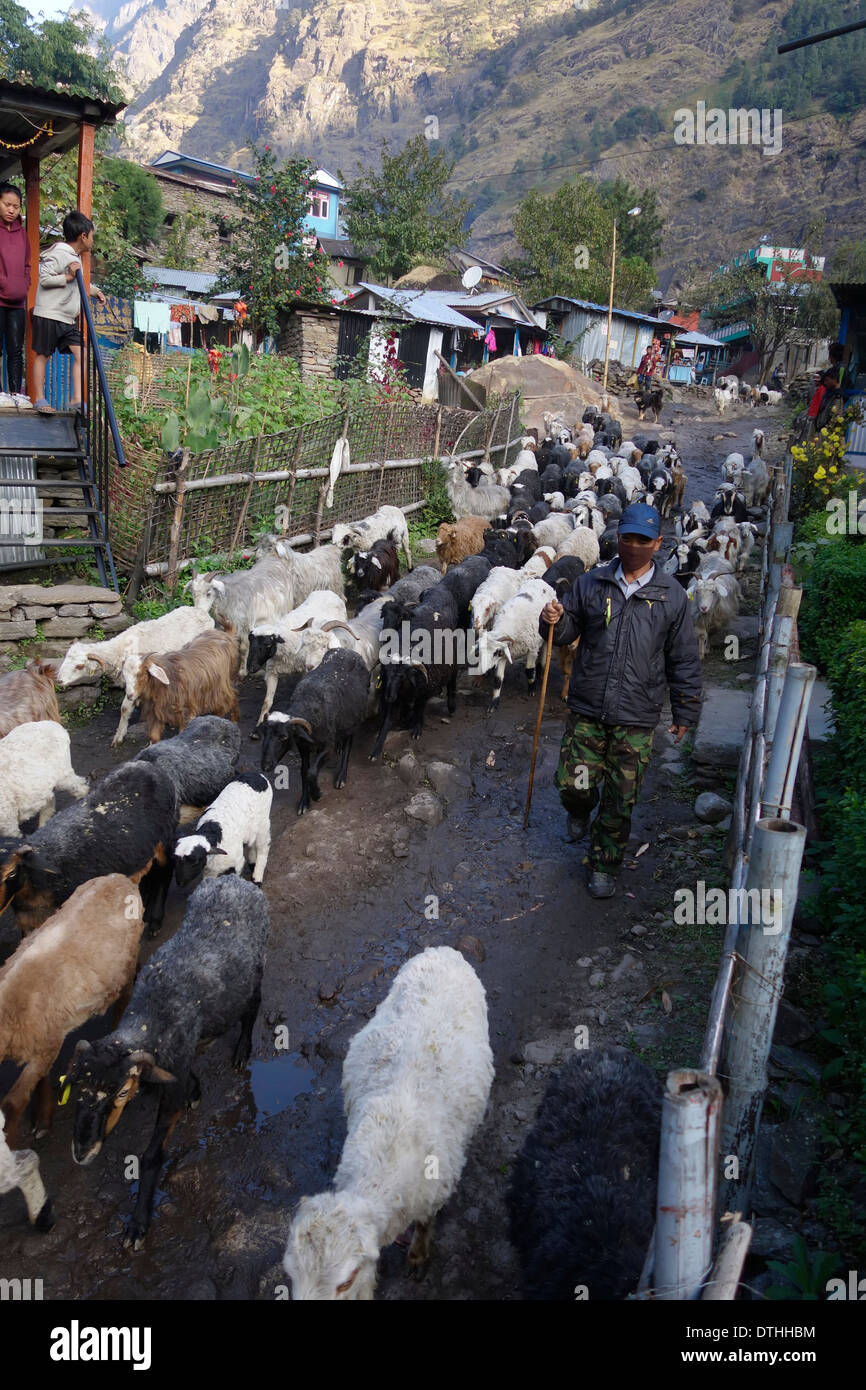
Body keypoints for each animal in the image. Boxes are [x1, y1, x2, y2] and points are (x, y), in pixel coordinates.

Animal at [0, 872, 144, 1145]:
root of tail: (120, 878)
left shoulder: (48, 1041)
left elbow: (13, 1103)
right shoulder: (44, 1042)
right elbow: (40, 1080)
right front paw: (42, 1121)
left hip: (126, 963)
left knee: (125, 997)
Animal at [54, 608, 215, 750]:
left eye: (80, 666)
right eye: (65, 658)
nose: (59, 681)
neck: (120, 649)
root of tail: (201, 610)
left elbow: (125, 709)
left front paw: (119, 736)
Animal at [261, 647, 369, 811]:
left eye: (284, 736)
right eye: (264, 734)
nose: (265, 766)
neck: (308, 703)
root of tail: (348, 650)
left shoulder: (328, 746)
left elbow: (311, 773)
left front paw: (316, 794)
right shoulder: (303, 746)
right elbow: (303, 771)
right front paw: (304, 801)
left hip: (354, 717)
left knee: (348, 744)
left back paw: (341, 777)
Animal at [280, 950, 492, 1295]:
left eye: (346, 1281)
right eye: (290, 1273)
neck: (387, 1150)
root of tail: (443, 950)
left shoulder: (432, 1194)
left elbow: (424, 1226)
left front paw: (418, 1258)